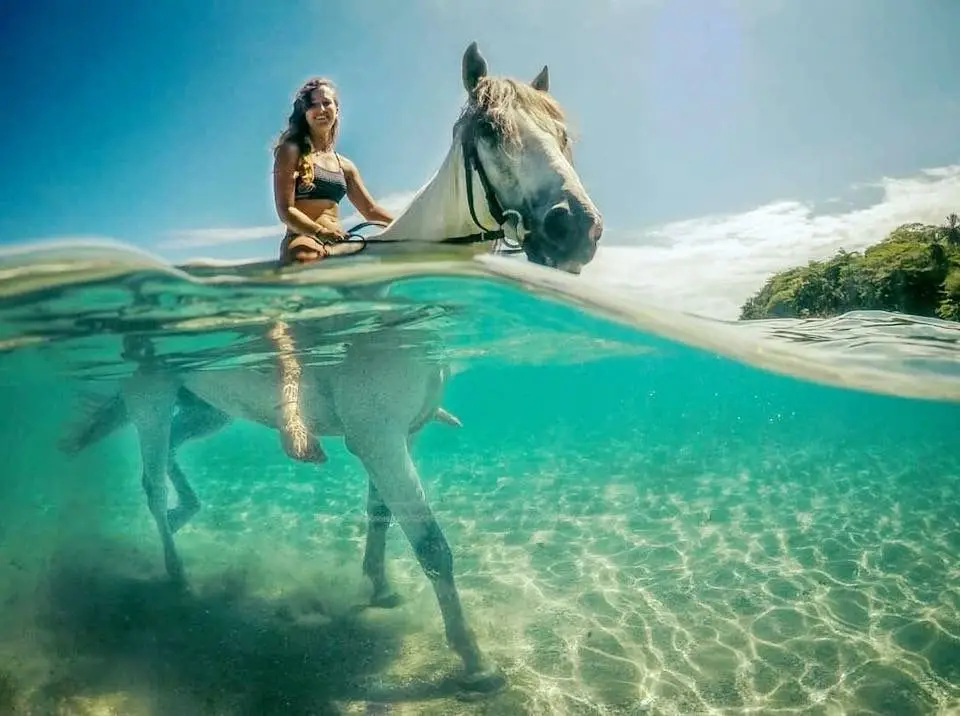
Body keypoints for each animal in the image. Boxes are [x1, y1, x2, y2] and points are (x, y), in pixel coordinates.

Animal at [60, 41, 603, 697]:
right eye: (492, 130)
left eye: (564, 134)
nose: (576, 229)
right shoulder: (382, 441)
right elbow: (432, 546)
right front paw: (473, 663)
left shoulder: (396, 439)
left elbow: (381, 515)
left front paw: (378, 588)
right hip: (152, 401)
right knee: (150, 479)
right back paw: (177, 573)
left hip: (208, 410)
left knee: (171, 459)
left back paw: (185, 513)